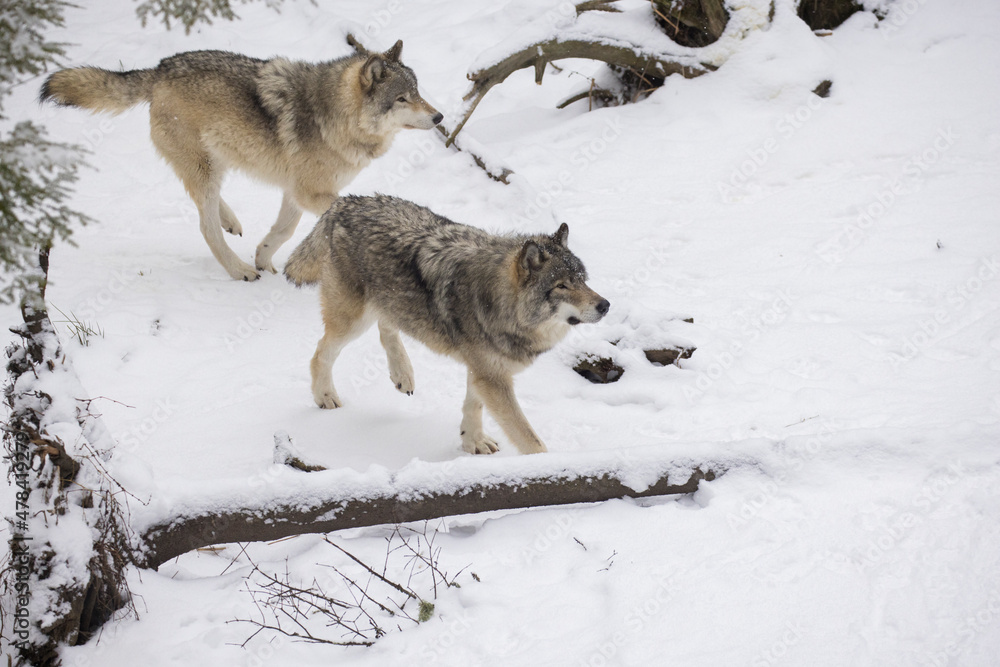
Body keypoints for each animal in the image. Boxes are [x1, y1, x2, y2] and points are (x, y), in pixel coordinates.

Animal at [40, 39, 442, 281]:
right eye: (403, 98)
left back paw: (231, 222)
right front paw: (258, 264)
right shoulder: (310, 192)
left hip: (216, 162)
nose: (439, 118)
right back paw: (239, 269)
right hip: (206, 167)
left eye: (418, 92)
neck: (336, 117)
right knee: (205, 226)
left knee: (210, 205)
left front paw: (264, 258)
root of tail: (160, 68)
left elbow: (283, 230)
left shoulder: (294, 192)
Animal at [284, 194, 610, 455]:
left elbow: (472, 407)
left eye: (582, 279)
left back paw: (402, 374)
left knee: (386, 326)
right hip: (351, 321)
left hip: (385, 304)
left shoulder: (482, 371)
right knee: (320, 353)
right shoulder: (492, 377)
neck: (499, 303)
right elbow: (530, 439)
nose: (605, 305)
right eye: (562, 285)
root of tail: (345, 202)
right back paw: (325, 396)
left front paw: (472, 443)